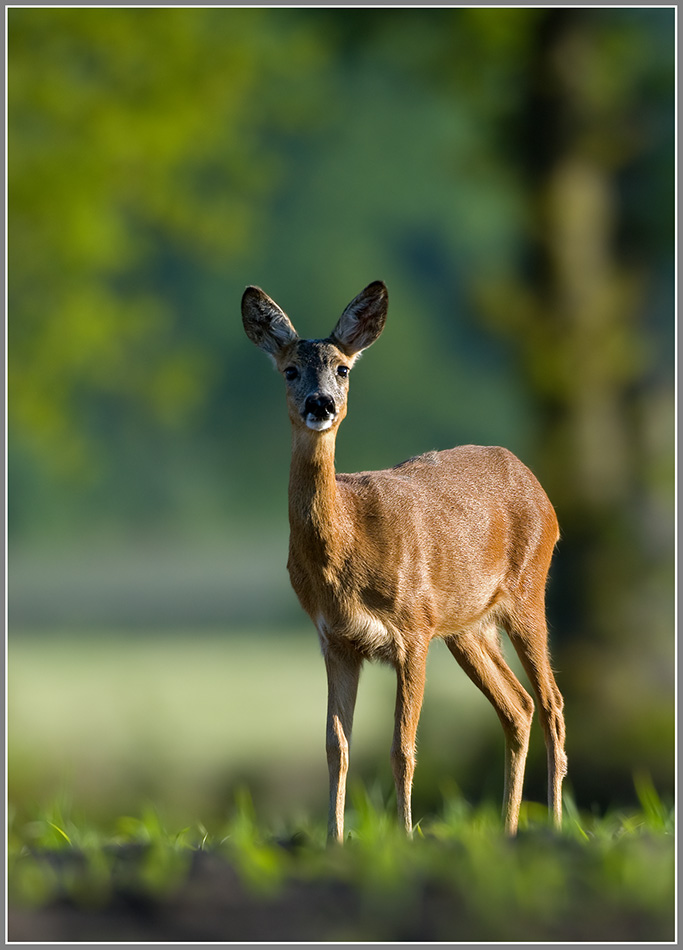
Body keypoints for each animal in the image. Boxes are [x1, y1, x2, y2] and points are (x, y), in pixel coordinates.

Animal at [243, 278, 568, 844]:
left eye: (343, 368)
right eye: (289, 369)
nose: (320, 404)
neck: (347, 546)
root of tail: (538, 489)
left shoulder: (413, 629)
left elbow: (402, 747)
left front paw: (407, 835)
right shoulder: (335, 639)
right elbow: (336, 747)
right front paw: (334, 839)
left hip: (528, 591)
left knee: (551, 703)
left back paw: (552, 827)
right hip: (467, 627)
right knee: (518, 707)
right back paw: (508, 830)